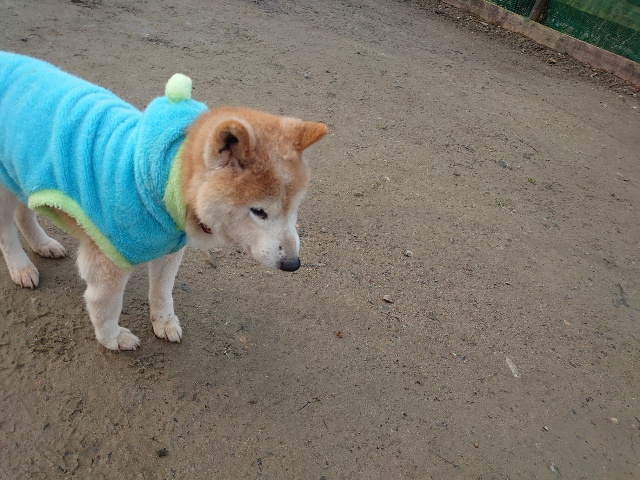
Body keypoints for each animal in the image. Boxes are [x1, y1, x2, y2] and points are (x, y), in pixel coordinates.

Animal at [0, 52, 327, 350]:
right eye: (259, 212)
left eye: (294, 209)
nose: (293, 264)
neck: (159, 182)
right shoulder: (108, 260)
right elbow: (105, 305)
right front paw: (112, 339)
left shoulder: (169, 247)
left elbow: (161, 291)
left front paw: (164, 322)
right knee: (6, 231)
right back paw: (21, 267)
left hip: (21, 178)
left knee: (23, 215)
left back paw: (42, 245)